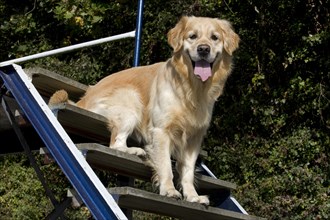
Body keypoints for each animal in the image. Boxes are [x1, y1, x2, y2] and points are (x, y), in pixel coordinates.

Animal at [49, 16, 238, 205]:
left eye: (214, 37)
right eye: (193, 36)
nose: (203, 49)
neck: (192, 88)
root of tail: (85, 98)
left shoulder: (194, 138)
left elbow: (188, 171)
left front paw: (193, 196)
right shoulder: (161, 131)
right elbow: (166, 166)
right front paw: (169, 190)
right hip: (131, 101)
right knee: (115, 143)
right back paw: (135, 150)